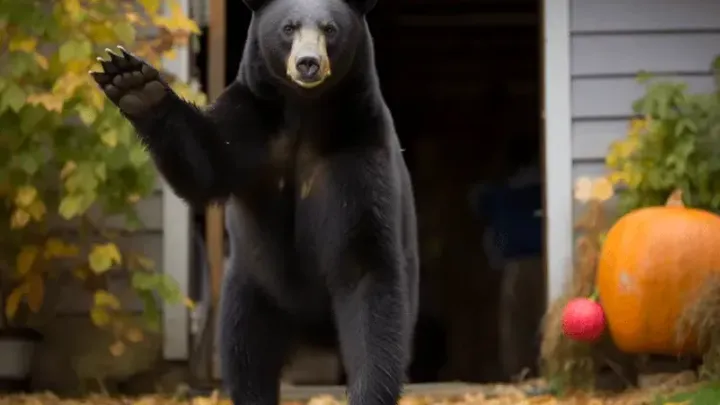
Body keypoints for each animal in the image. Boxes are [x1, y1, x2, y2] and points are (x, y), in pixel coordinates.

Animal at [89, 0, 419, 403]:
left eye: (330, 29)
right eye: (289, 28)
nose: (308, 63)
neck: (303, 112)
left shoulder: (356, 145)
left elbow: (363, 264)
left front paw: (369, 392)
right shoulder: (252, 125)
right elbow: (205, 165)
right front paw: (133, 83)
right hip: (250, 291)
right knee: (246, 357)